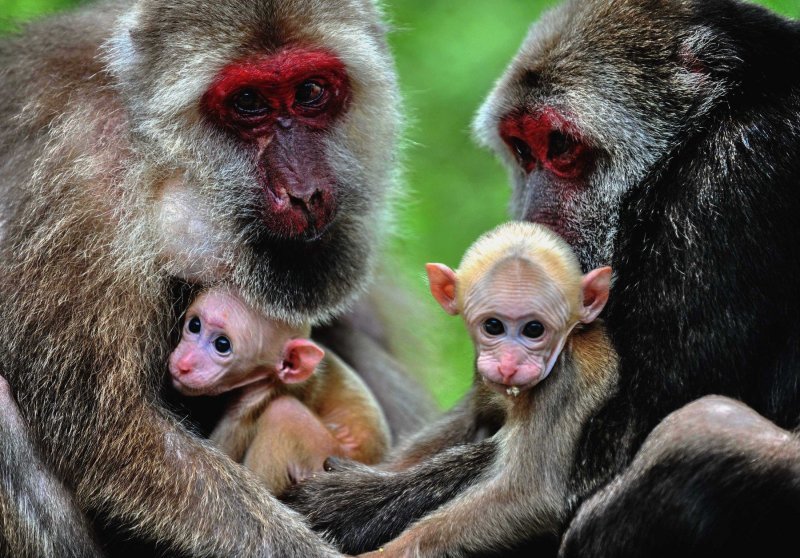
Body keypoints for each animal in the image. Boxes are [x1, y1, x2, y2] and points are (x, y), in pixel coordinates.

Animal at [354, 221, 616, 556]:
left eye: (534, 329)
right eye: (493, 326)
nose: (508, 364)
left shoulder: (562, 384)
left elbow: (528, 495)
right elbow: (471, 418)